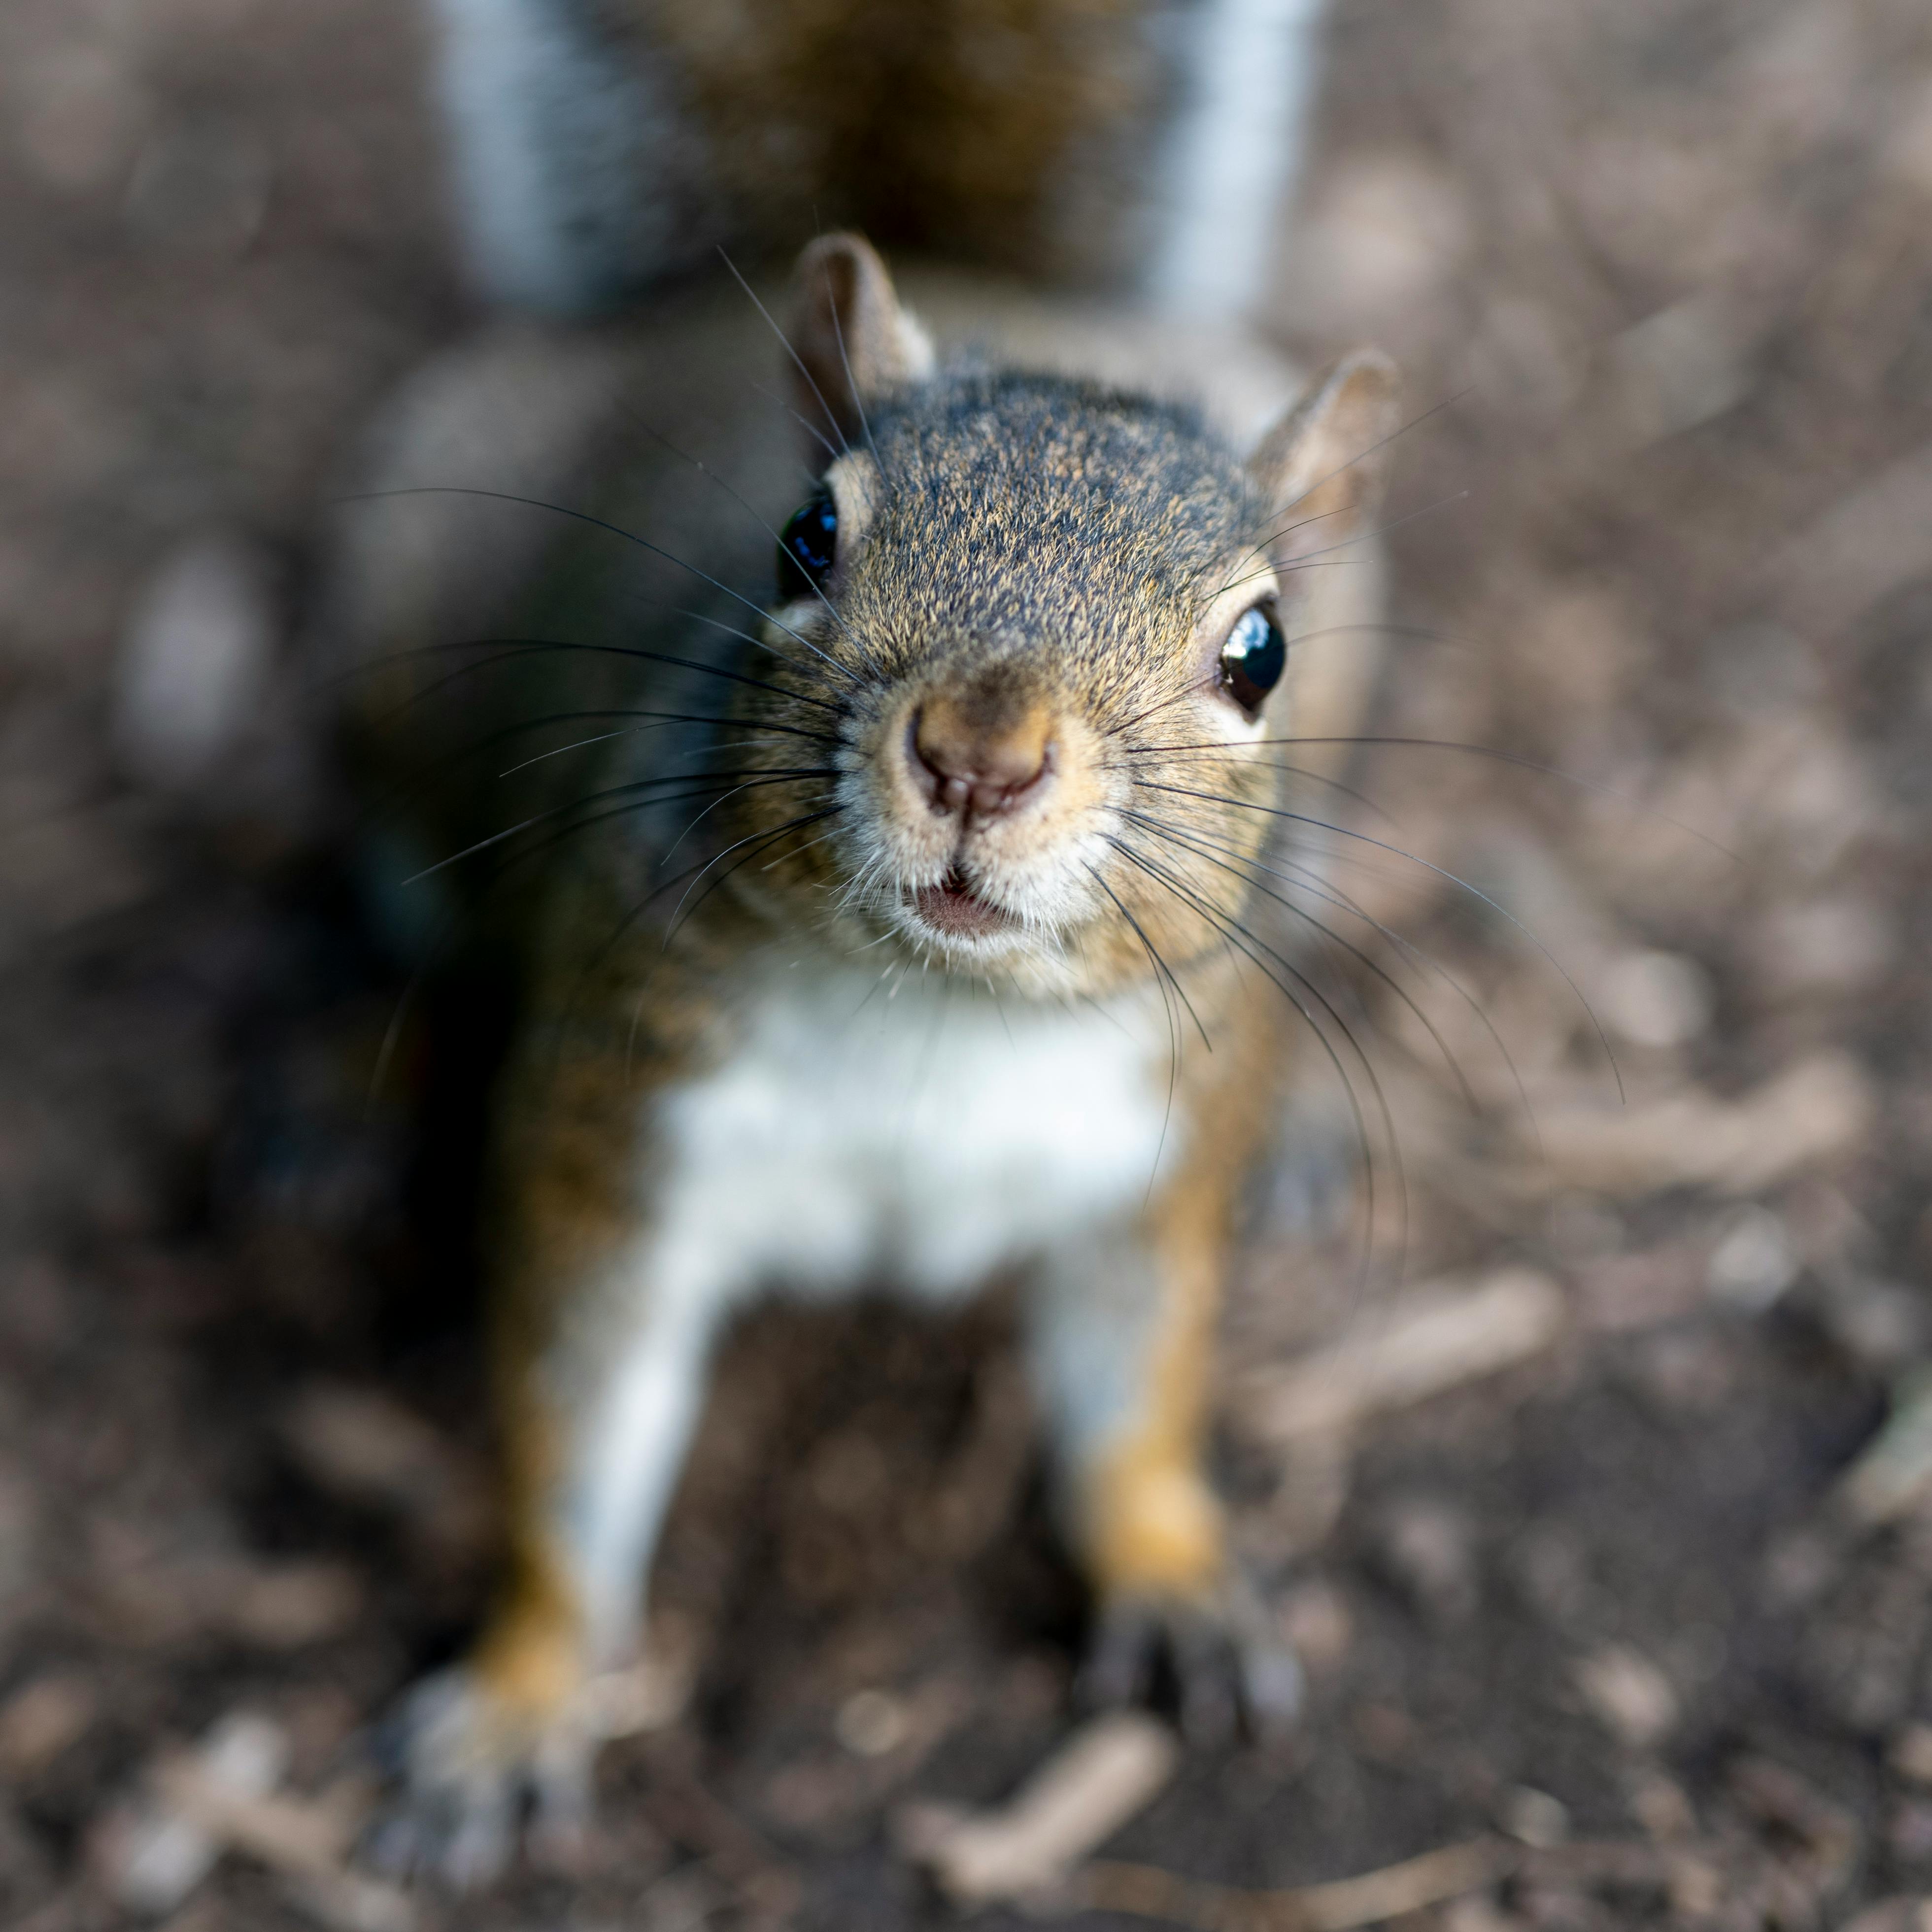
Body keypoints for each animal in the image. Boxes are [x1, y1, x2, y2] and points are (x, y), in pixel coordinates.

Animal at [325, 0, 1393, 1886]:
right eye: (804, 535)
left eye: (1262, 651)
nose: (979, 754)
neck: (934, 1020)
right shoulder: (617, 1130)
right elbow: (573, 1432)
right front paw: (520, 1693)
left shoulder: (1146, 1163)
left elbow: (1137, 1389)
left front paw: (1174, 1566)